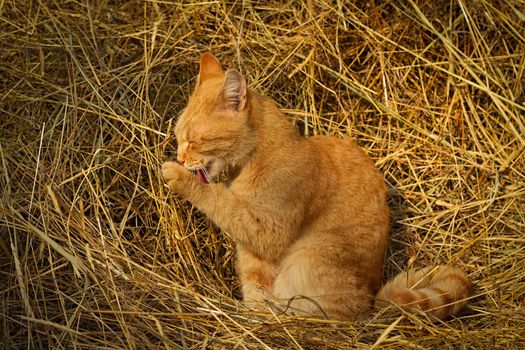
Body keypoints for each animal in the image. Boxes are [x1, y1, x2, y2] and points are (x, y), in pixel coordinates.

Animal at [161, 52, 470, 320]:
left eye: (194, 140)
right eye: (177, 136)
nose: (180, 157)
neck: (256, 159)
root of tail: (371, 301)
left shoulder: (267, 232)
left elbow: (219, 201)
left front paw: (179, 176)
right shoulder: (254, 255)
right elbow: (256, 287)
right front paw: (257, 317)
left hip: (309, 256)